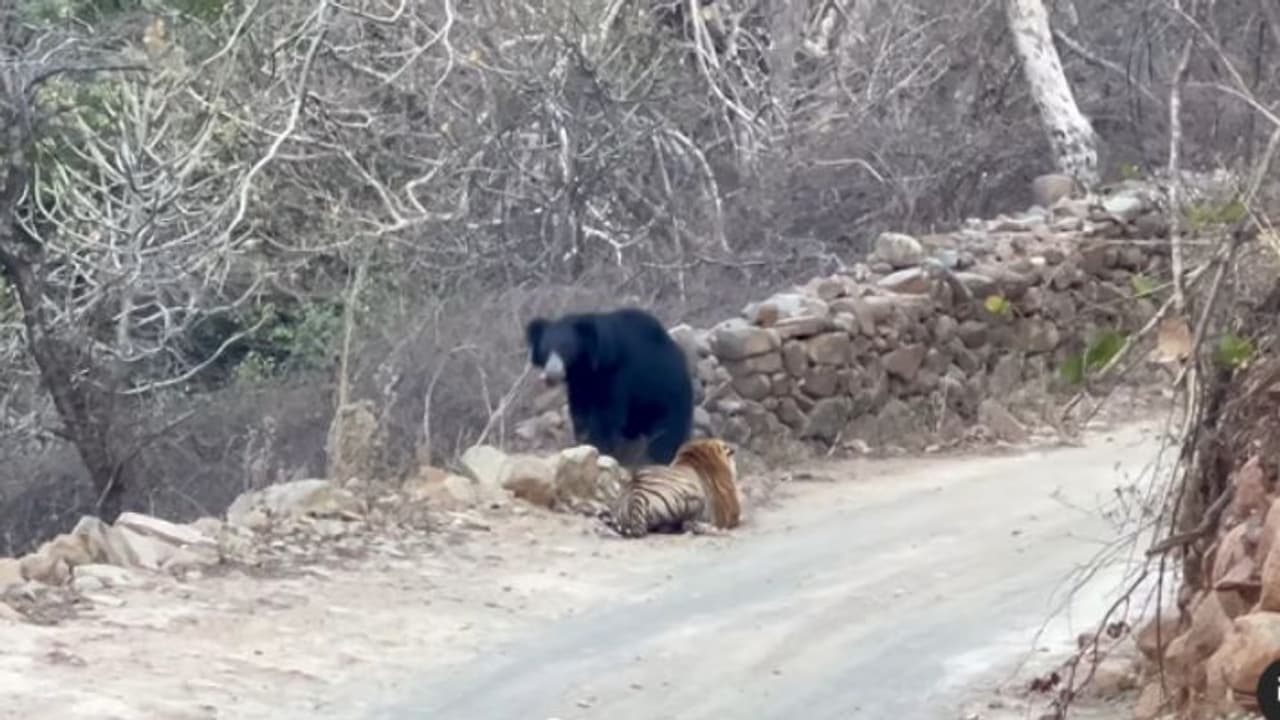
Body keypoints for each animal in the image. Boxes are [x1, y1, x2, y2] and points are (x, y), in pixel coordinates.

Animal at [524, 307, 695, 469]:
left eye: (565, 349)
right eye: (545, 350)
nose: (551, 373)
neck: (588, 366)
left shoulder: (618, 373)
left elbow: (606, 414)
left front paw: (599, 447)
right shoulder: (578, 383)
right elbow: (580, 411)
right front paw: (582, 441)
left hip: (668, 394)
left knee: (667, 433)